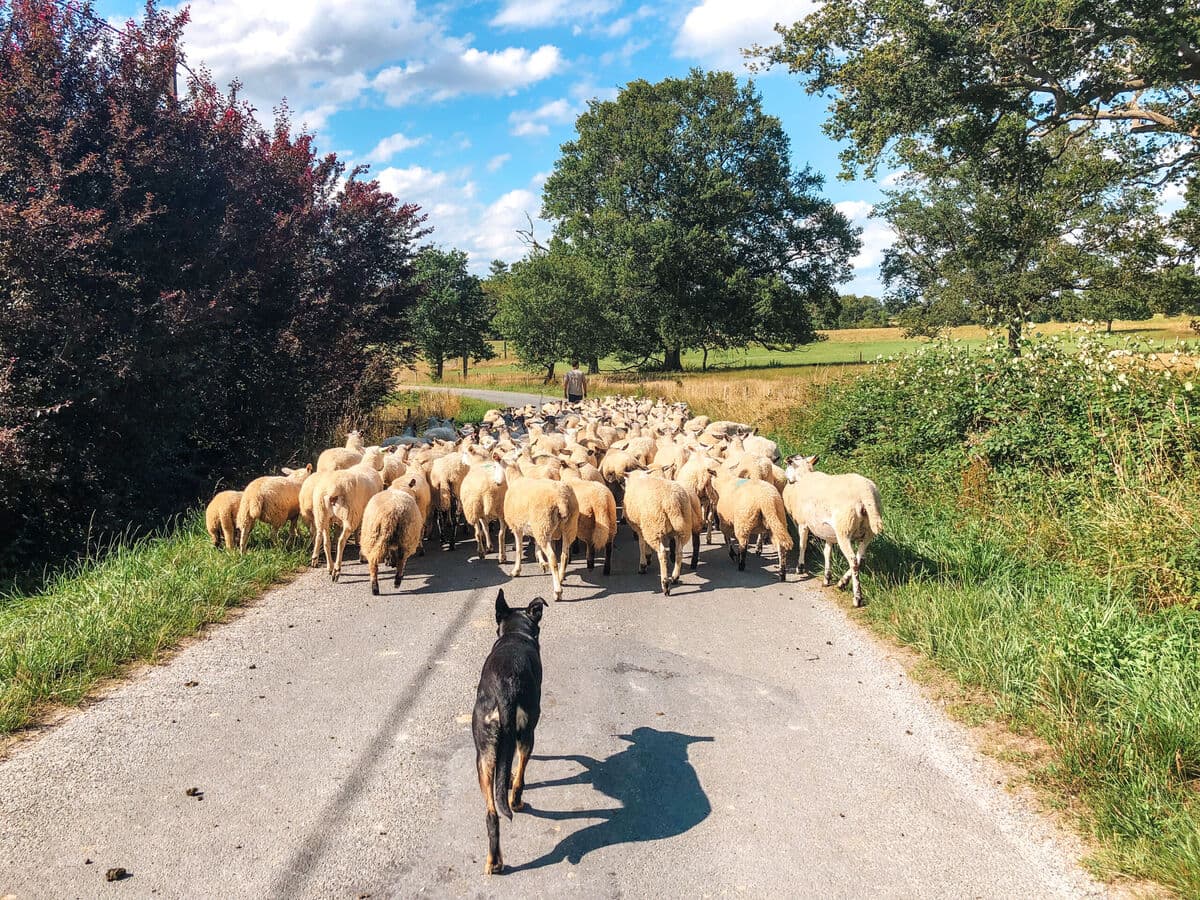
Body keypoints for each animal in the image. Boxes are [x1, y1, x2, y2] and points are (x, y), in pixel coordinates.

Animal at [783, 455, 884, 607]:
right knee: (860, 558)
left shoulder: (803, 523)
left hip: (844, 530)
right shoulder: (829, 533)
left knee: (853, 561)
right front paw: (827, 578)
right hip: (868, 533)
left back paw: (857, 597)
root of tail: (866, 494)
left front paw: (800, 567)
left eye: (789, 465)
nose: (786, 477)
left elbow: (803, 545)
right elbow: (827, 552)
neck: (804, 476)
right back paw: (842, 582)